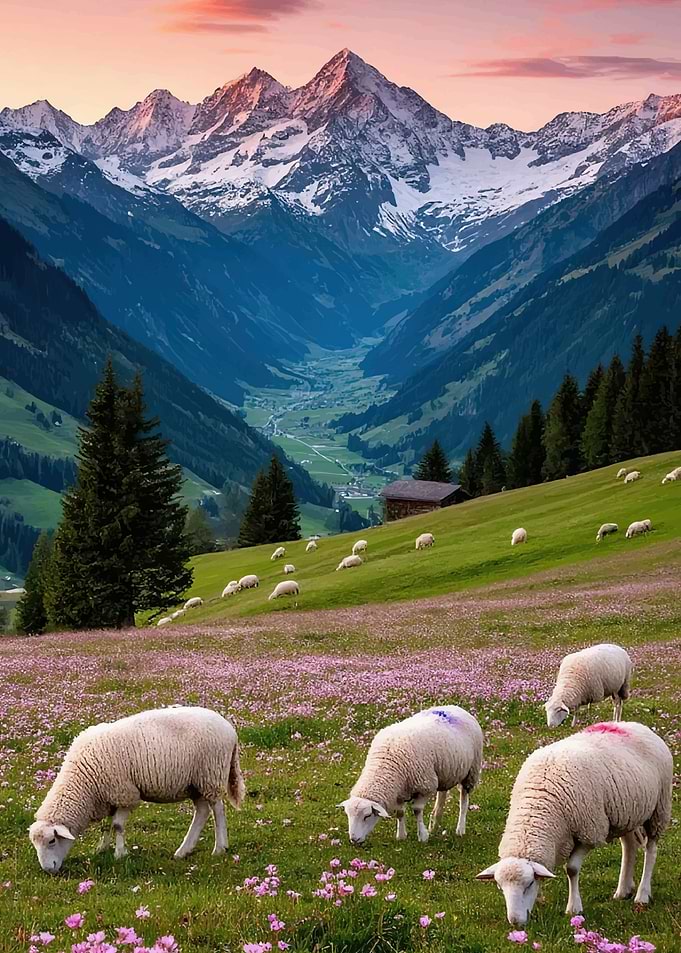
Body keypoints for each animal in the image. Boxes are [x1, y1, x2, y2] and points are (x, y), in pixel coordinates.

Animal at [28, 706, 245, 874]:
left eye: (51, 841)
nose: (48, 870)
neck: (83, 780)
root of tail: (230, 729)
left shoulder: (126, 793)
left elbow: (117, 826)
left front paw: (119, 854)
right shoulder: (108, 797)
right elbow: (105, 826)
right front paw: (101, 849)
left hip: (211, 775)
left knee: (218, 810)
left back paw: (219, 848)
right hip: (195, 784)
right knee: (202, 812)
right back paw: (183, 851)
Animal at [340, 705, 483, 845]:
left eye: (367, 816)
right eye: (348, 815)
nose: (354, 840)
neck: (385, 763)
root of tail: (456, 707)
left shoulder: (425, 786)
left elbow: (417, 810)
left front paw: (423, 836)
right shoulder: (399, 791)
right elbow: (400, 812)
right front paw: (401, 835)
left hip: (471, 771)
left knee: (464, 800)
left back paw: (460, 829)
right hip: (445, 773)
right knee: (442, 795)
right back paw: (434, 825)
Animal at [476, 722, 672, 925]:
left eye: (529, 884)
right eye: (500, 887)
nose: (516, 922)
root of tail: (635, 725)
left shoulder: (590, 832)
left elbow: (571, 869)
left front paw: (574, 908)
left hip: (659, 808)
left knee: (651, 850)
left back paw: (642, 895)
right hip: (627, 814)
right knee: (629, 846)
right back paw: (623, 890)